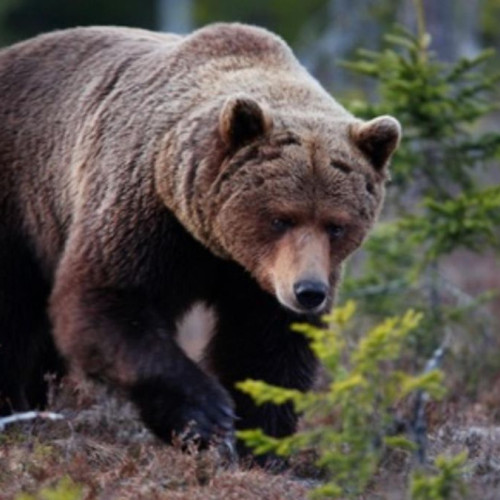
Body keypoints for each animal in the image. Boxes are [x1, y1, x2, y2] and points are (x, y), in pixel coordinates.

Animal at [0, 22, 398, 450]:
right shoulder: (147, 214)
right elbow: (107, 301)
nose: (308, 291)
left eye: (336, 225)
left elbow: (267, 347)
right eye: (280, 219)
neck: (215, 245)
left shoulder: (259, 280)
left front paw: (260, 440)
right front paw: (208, 415)